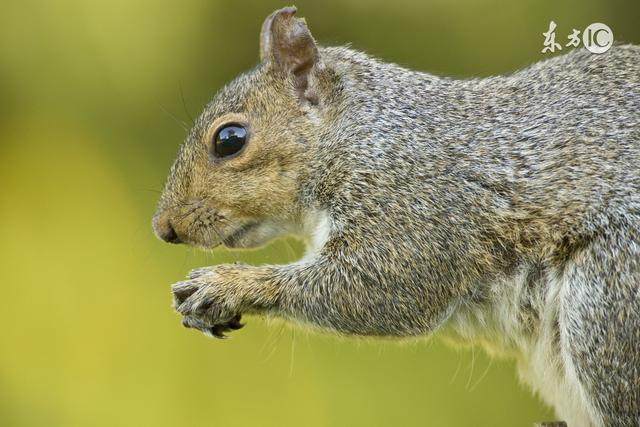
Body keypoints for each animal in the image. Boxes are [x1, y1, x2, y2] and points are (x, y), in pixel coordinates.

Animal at [154, 6, 640, 427]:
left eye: (230, 139)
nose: (164, 228)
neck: (361, 133)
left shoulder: (412, 206)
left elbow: (381, 288)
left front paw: (227, 284)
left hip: (605, 301)